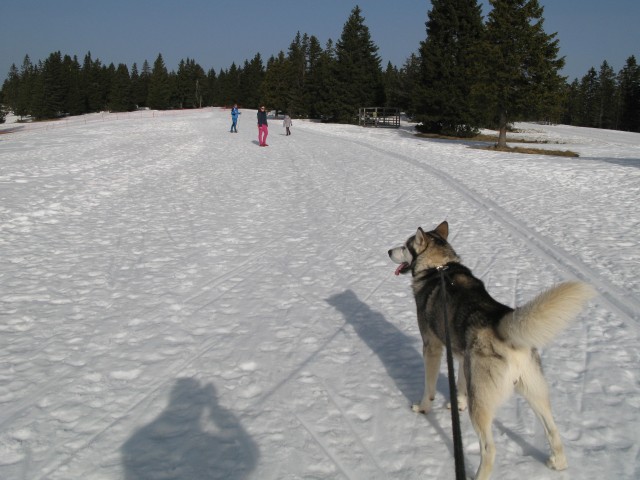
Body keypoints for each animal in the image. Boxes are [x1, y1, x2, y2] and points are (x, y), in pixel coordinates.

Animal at [388, 221, 596, 480]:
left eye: (405, 246)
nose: (388, 251)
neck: (438, 267)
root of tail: (501, 326)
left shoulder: (432, 346)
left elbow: (429, 388)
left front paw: (423, 407)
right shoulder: (461, 354)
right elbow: (460, 383)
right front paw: (457, 404)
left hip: (482, 405)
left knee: (489, 448)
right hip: (534, 391)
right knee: (552, 430)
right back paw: (558, 463)